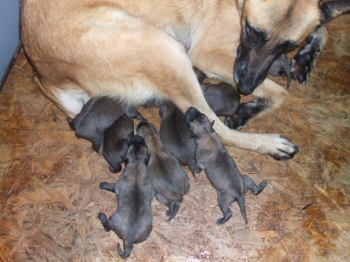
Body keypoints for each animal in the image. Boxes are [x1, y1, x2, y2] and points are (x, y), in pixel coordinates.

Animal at [21, 0, 350, 160]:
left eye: (287, 45)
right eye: (252, 31)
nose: (245, 88)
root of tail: (46, 77)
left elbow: (323, 27)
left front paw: (306, 55)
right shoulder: (208, 54)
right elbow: (283, 95)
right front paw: (248, 111)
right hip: (165, 48)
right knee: (218, 129)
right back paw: (267, 143)